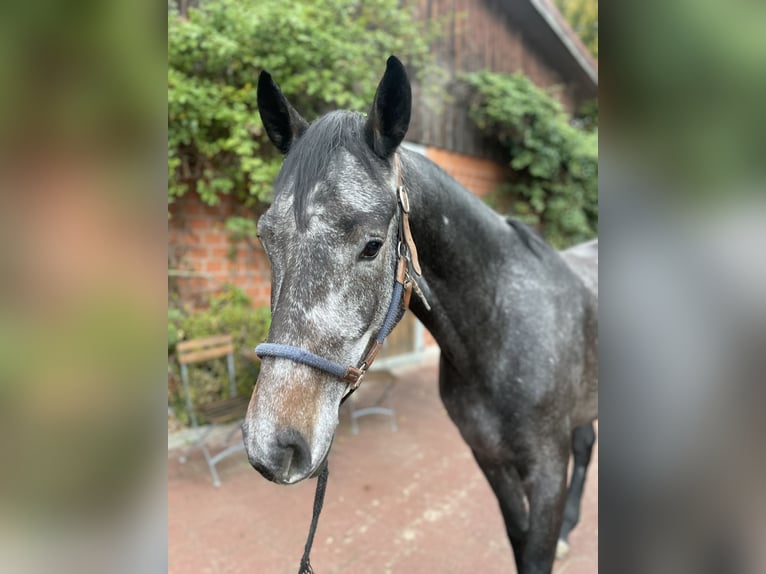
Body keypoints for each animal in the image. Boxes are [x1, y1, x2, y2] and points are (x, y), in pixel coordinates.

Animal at [244, 56, 600, 572]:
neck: (500, 327)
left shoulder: (547, 469)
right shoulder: (490, 459)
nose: (272, 445)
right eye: (265, 237)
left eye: (372, 246)